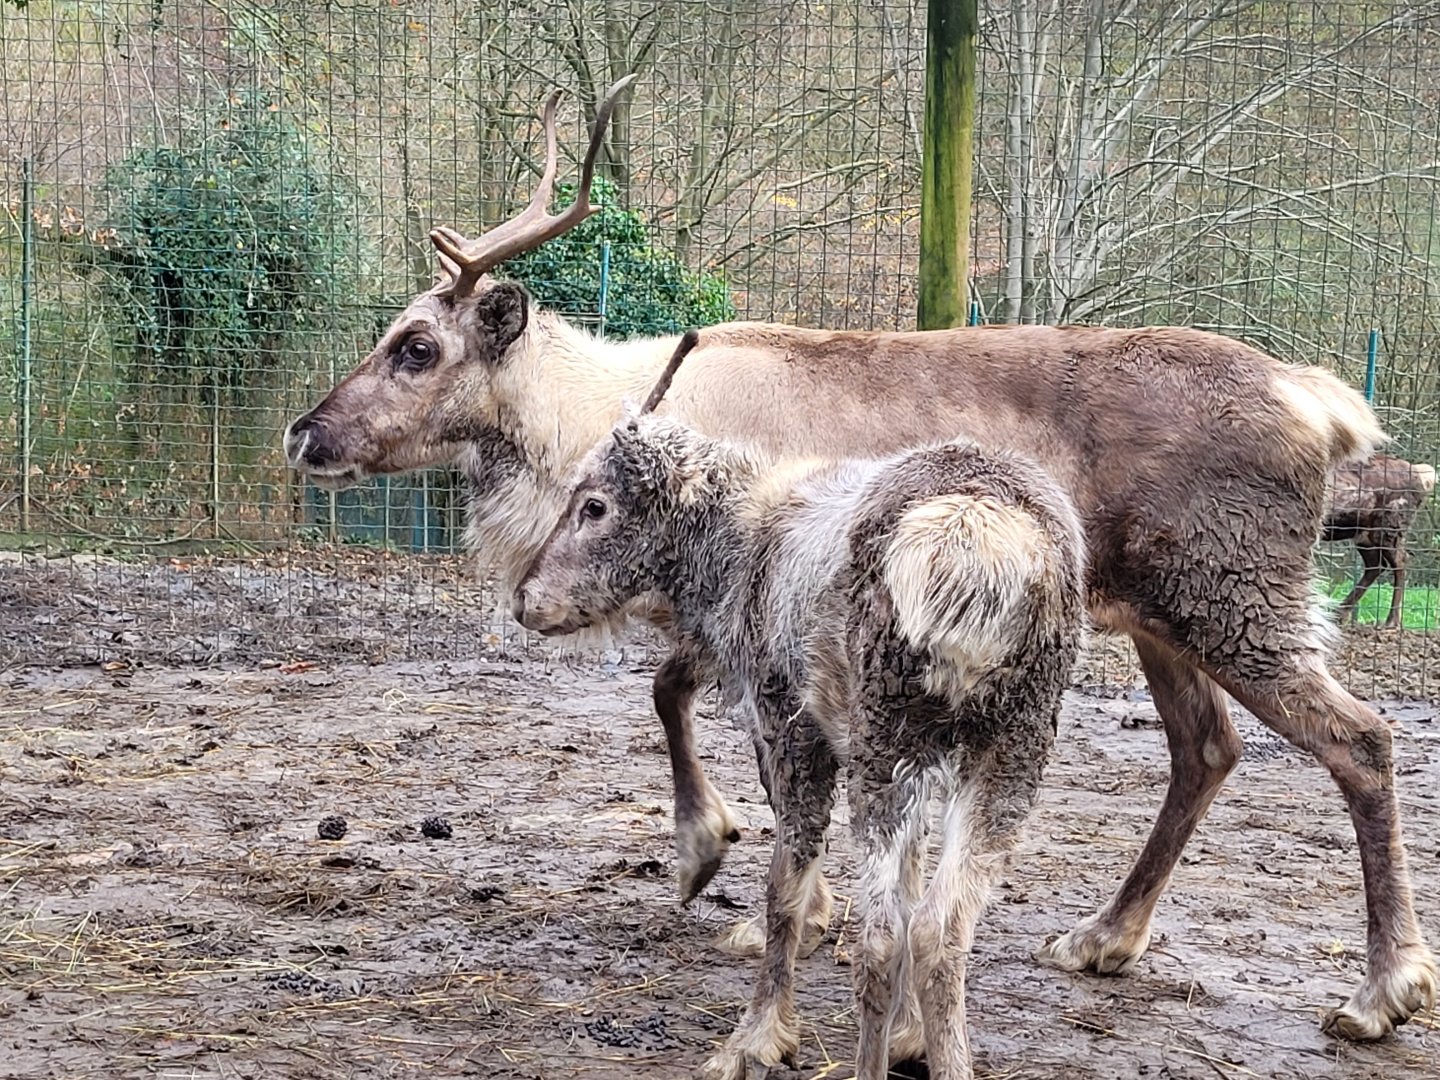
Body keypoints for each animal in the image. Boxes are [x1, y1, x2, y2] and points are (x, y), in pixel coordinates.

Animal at [512, 332, 1087, 1080]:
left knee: (881, 934)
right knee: (941, 925)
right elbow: (908, 884)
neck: (729, 558)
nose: (525, 600)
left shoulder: (790, 725)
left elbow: (783, 889)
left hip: (884, 733)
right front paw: (909, 1035)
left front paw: (754, 1035)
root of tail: (976, 544)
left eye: (595, 504)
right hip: (1013, 741)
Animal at [1323, 453, 1437, 629]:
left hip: (1388, 527)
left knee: (1400, 561)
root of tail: (1422, 474)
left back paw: (1391, 620)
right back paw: (1339, 614)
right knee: (1376, 565)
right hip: (1364, 535)